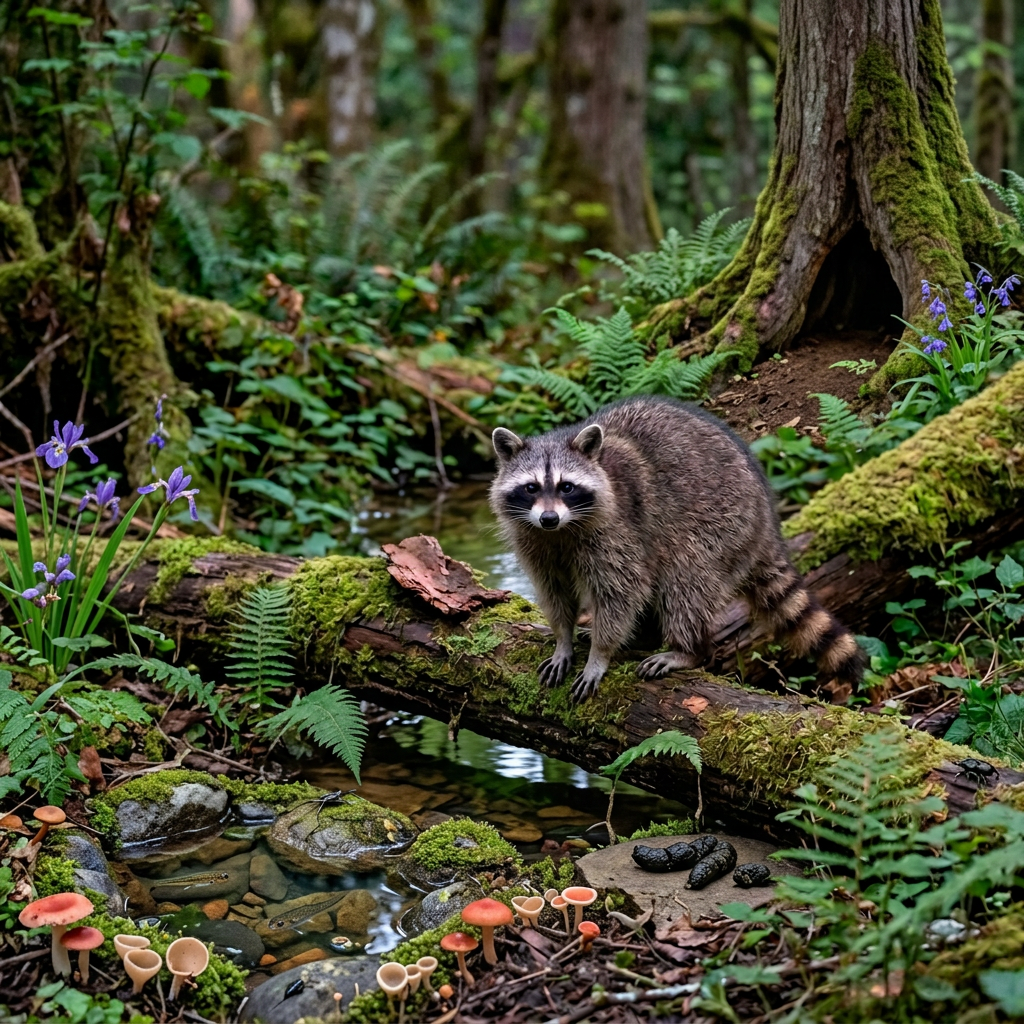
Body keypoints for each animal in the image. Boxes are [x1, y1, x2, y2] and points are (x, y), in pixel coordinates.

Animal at [490, 396, 864, 702]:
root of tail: (767, 520)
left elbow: (622, 590)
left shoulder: (617, 530)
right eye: (531, 487)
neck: (561, 532)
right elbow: (554, 590)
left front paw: (600, 653)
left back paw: (688, 650)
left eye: (566, 487)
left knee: (685, 583)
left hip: (722, 525)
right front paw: (563, 638)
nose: (549, 518)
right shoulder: (534, 541)